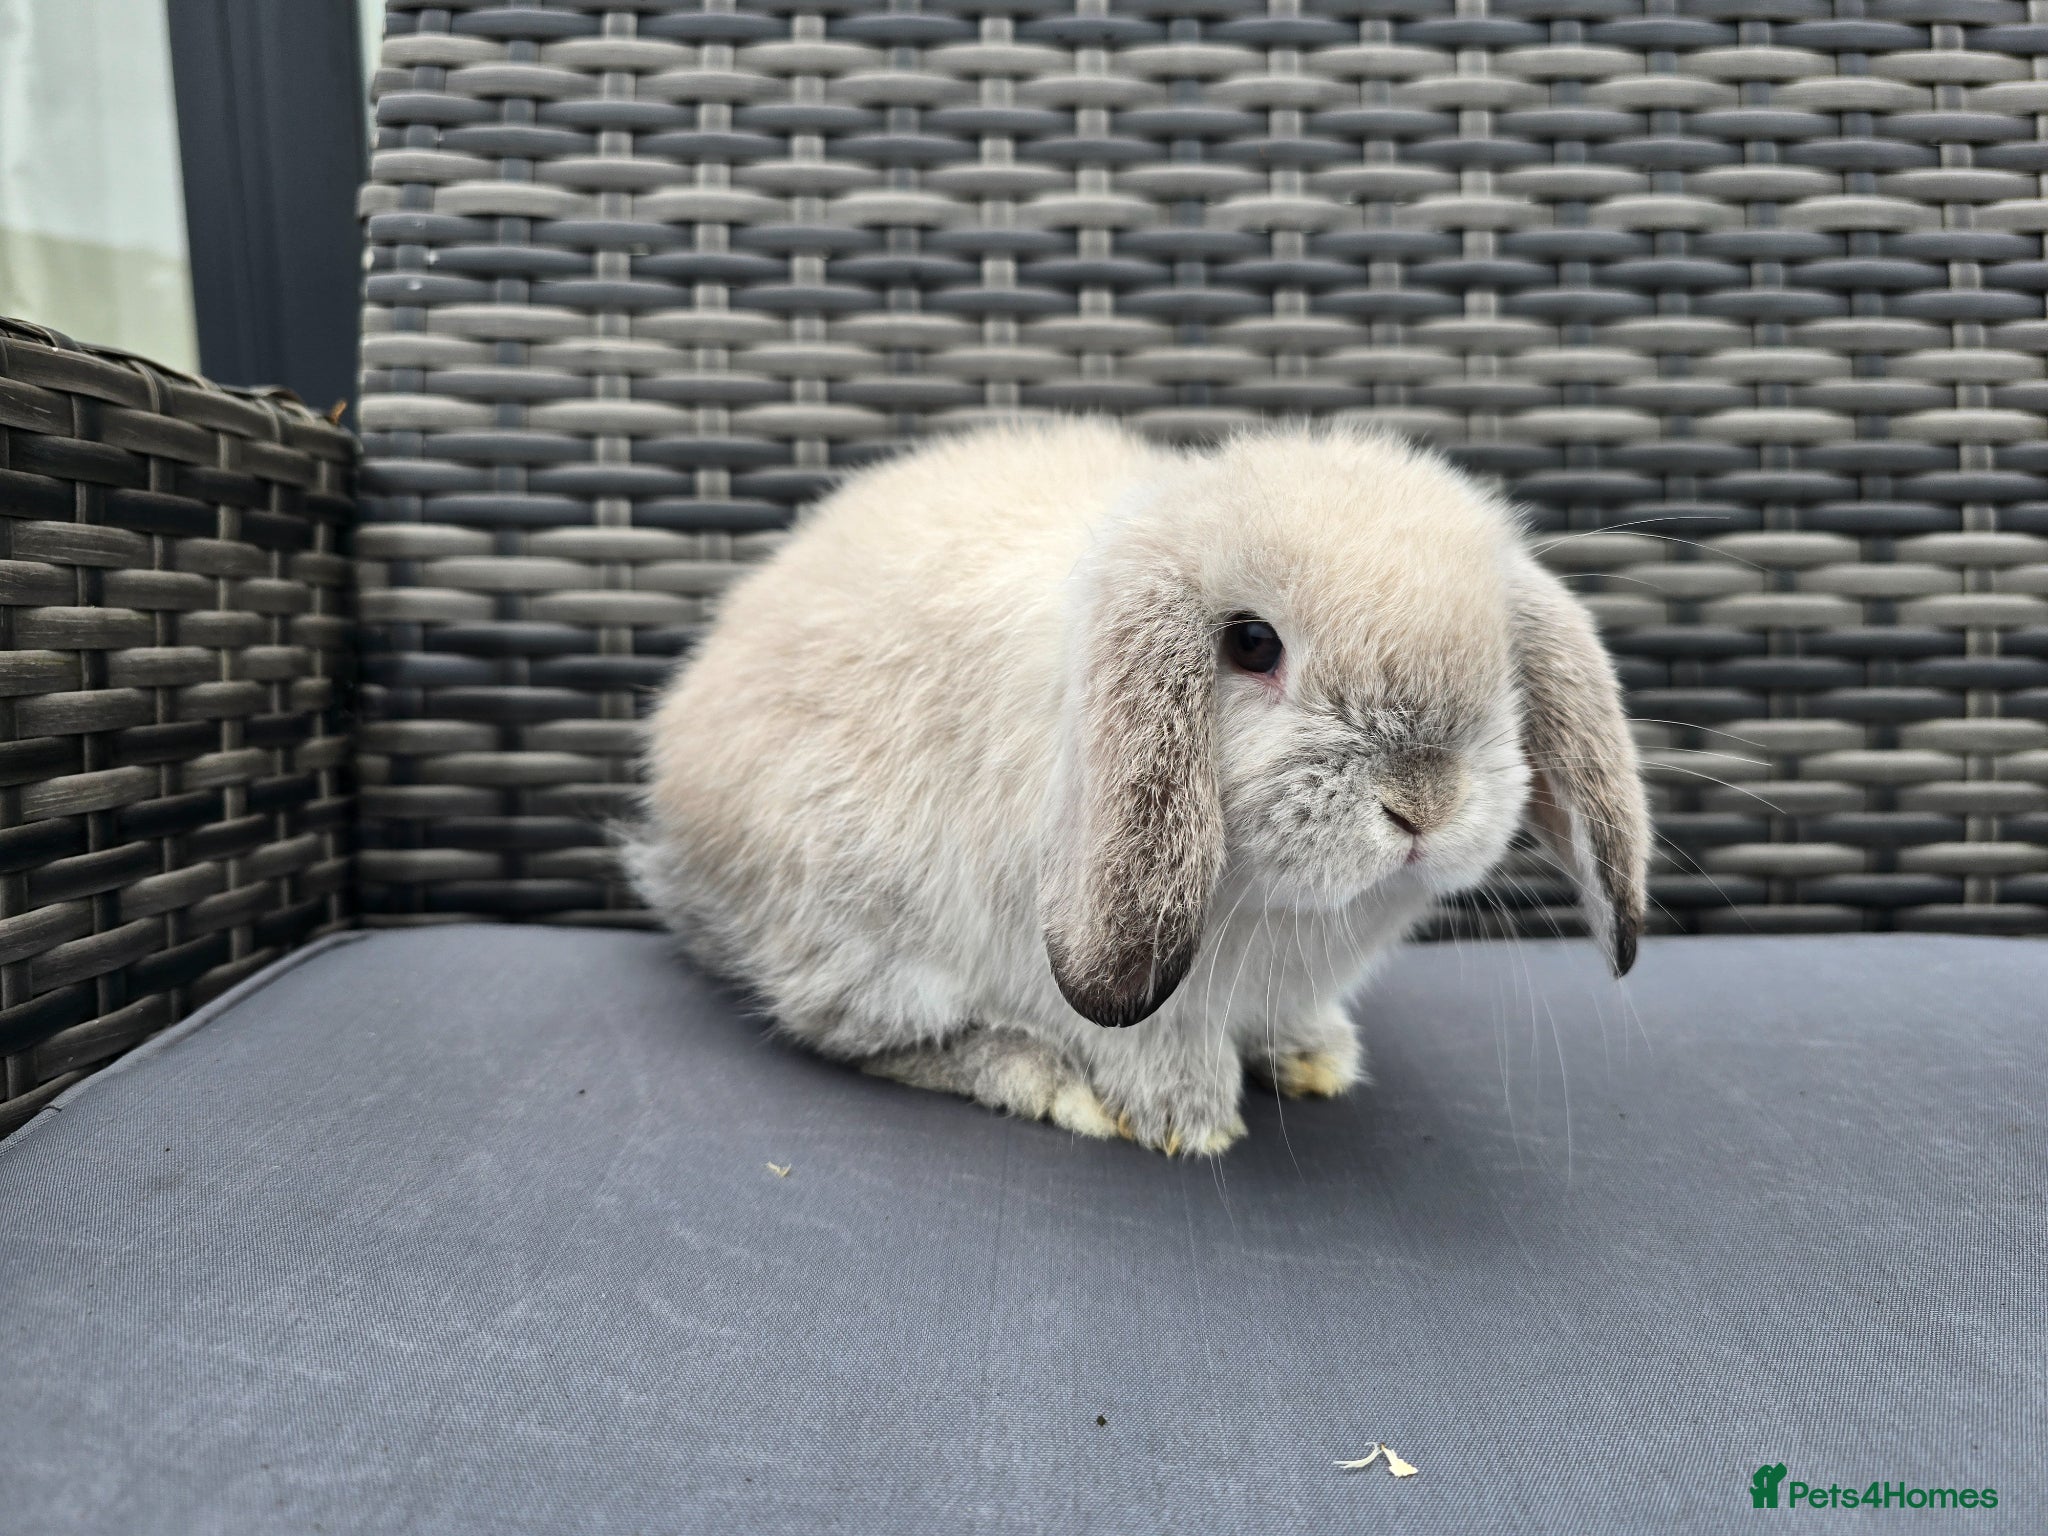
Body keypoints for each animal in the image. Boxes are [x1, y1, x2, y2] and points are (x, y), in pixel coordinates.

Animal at [624, 418, 1649, 1157]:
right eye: (1253, 644)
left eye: (1502, 657)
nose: (1423, 802)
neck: (1276, 912)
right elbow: (1147, 1045)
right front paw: (1189, 1124)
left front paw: (1316, 1060)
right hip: (857, 930)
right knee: (852, 1034)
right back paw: (1042, 1080)